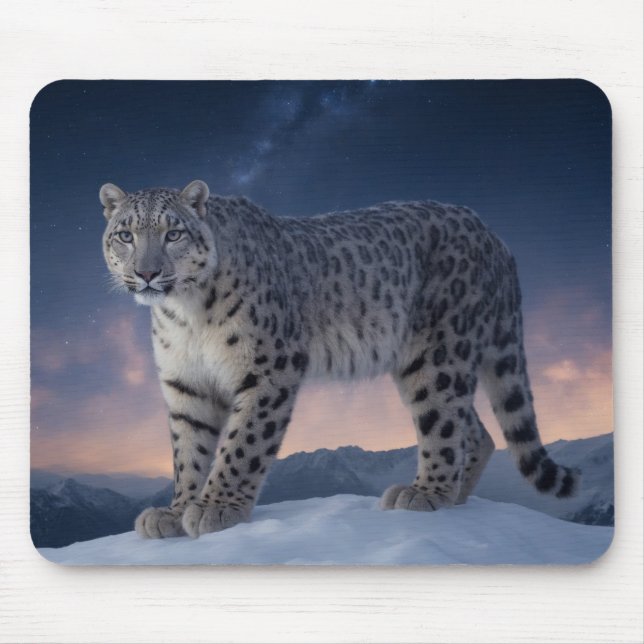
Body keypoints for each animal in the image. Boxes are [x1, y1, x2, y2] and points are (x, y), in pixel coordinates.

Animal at [99, 179, 580, 539]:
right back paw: (453, 495)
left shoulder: (269, 368)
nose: (146, 273)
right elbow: (189, 450)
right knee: (476, 430)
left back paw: (426, 494)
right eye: (126, 235)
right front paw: (175, 511)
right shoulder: (186, 384)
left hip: (439, 354)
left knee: (445, 422)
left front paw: (216, 507)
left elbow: (243, 443)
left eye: (173, 234)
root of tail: (492, 234)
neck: (185, 314)